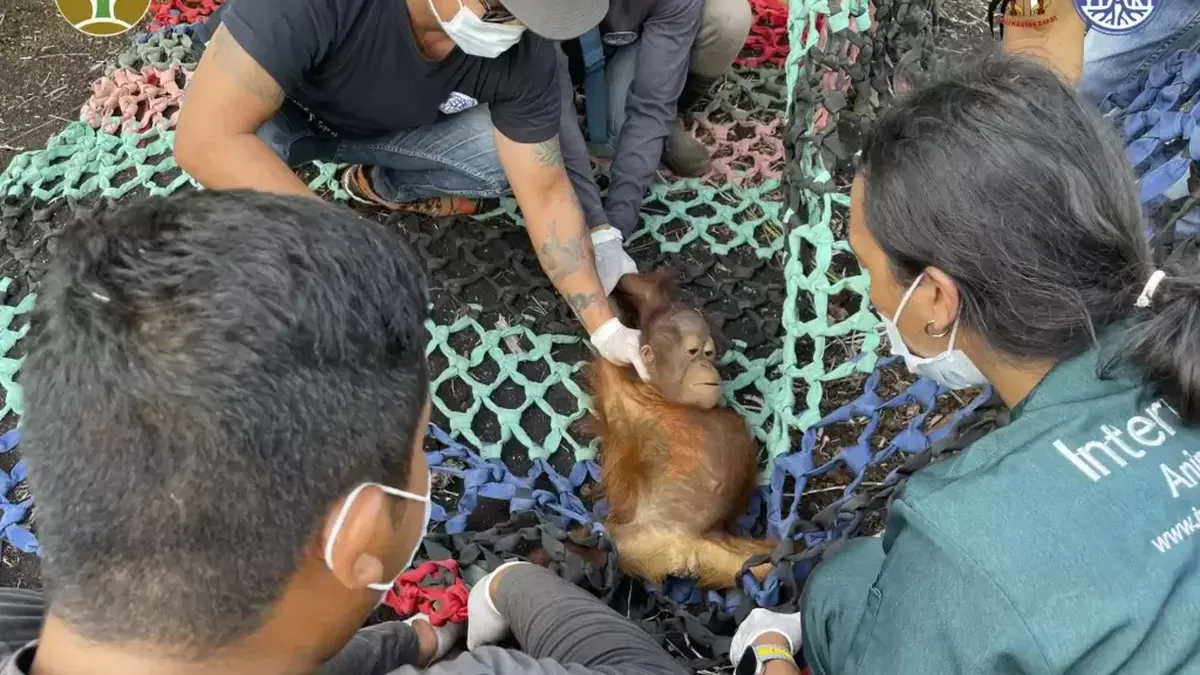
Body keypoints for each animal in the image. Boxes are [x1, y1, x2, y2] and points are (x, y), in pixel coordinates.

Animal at [584, 270, 777, 590]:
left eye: (709, 353)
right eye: (692, 351)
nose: (707, 366)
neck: (672, 400)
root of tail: (681, 550)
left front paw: (623, 279)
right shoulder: (622, 397)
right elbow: (610, 353)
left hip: (719, 552)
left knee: (773, 563)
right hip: (630, 540)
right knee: (588, 543)